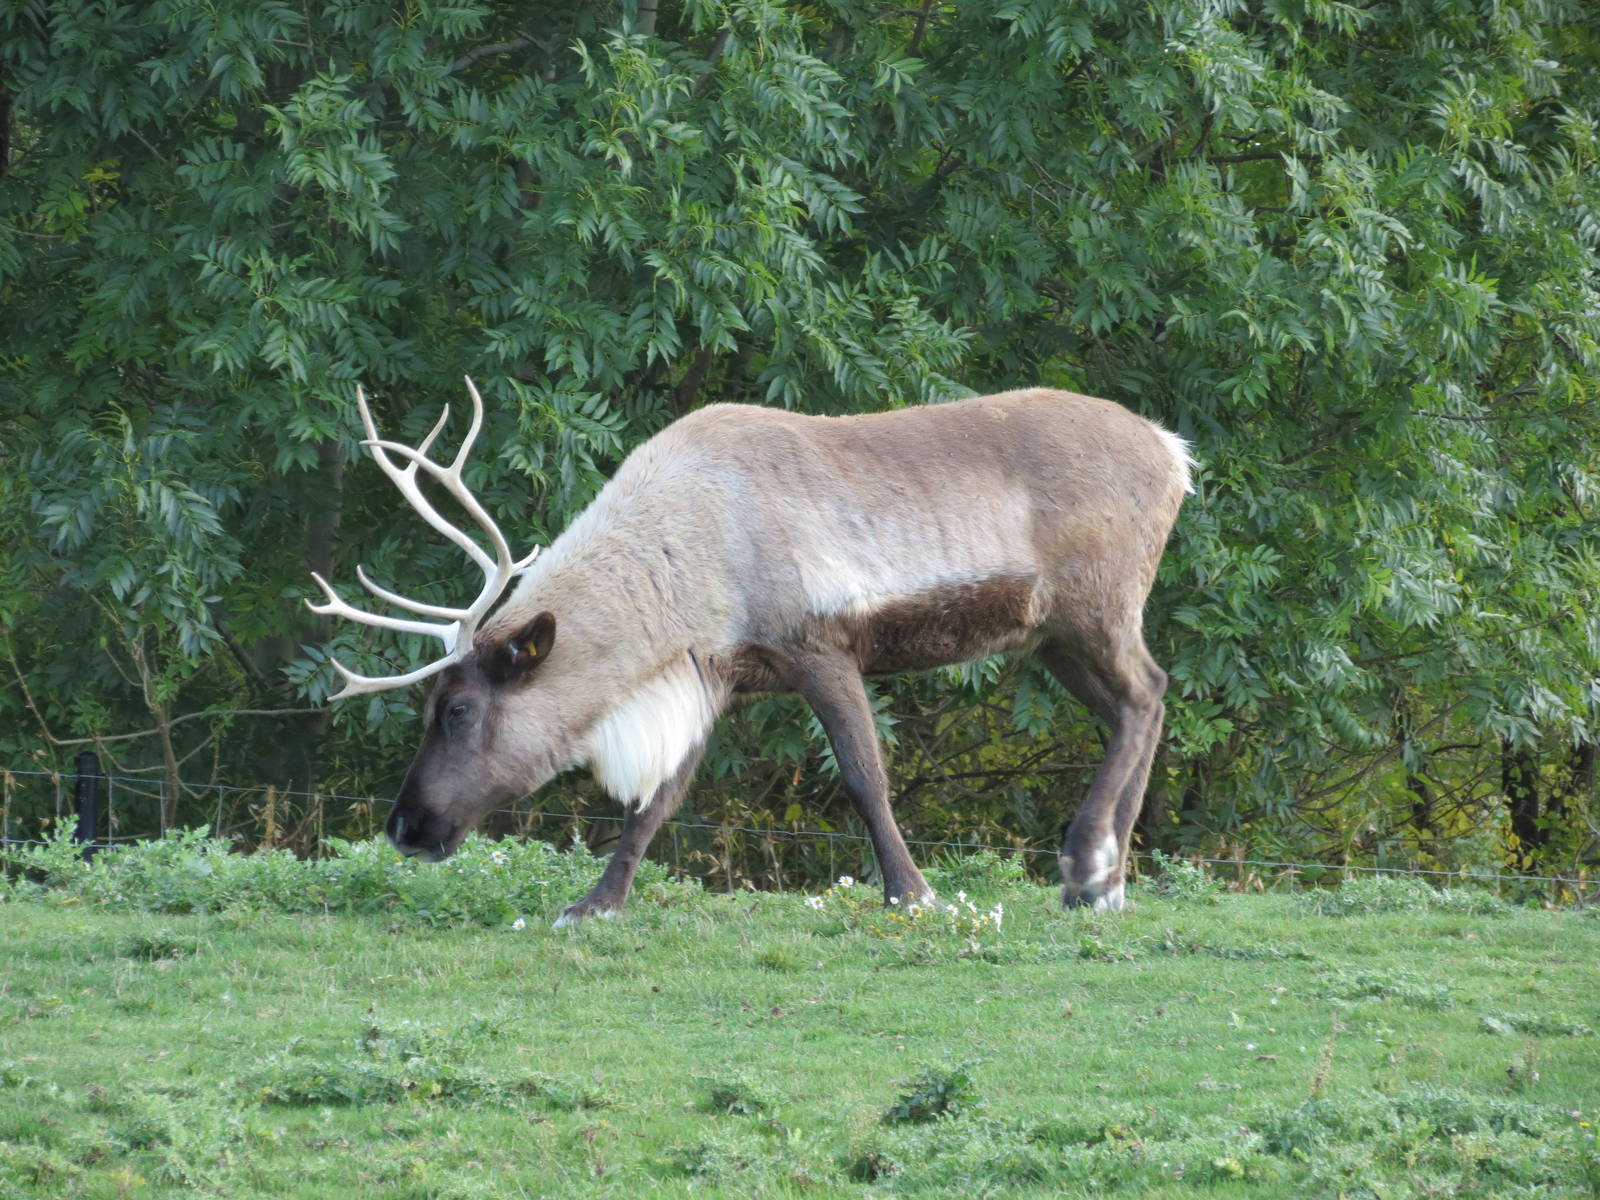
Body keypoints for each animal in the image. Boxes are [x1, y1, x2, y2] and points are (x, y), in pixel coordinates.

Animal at [309, 379, 1193, 924]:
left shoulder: (819, 645)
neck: (684, 551)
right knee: (1143, 701)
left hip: (1095, 608)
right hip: (1052, 635)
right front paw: (595, 903)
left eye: (457, 709)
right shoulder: (718, 675)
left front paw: (912, 894)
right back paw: (1104, 882)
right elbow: (656, 801)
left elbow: (865, 778)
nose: (405, 826)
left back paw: (1088, 865)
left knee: (1145, 692)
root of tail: (1173, 450)